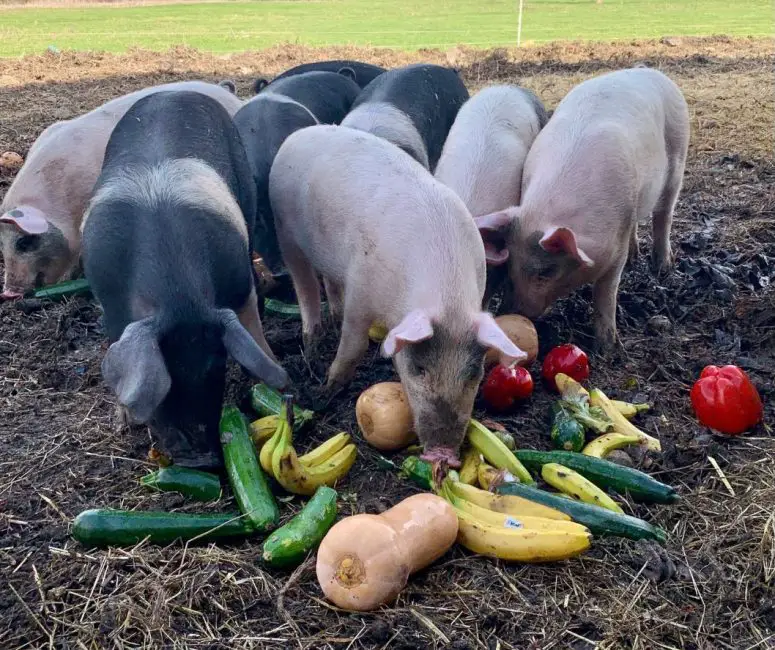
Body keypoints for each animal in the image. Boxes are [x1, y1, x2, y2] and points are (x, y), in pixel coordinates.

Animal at [81, 90, 287, 469]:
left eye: (217, 366)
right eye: (167, 379)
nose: (201, 461)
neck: (176, 293)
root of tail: (172, 91)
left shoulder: (238, 286)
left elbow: (252, 328)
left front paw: (275, 382)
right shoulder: (111, 305)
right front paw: (124, 421)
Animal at [268, 125, 525, 467]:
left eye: (474, 373)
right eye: (419, 369)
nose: (443, 453)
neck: (447, 299)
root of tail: (297, 135)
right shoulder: (361, 286)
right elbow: (354, 346)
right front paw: (325, 392)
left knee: (329, 282)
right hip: (284, 230)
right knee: (304, 285)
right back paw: (313, 344)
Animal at [474, 67, 690, 350]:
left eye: (546, 272)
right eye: (510, 264)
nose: (510, 311)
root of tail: (649, 70)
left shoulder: (616, 244)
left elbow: (606, 290)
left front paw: (607, 347)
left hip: (678, 157)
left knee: (664, 215)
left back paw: (663, 267)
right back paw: (637, 256)